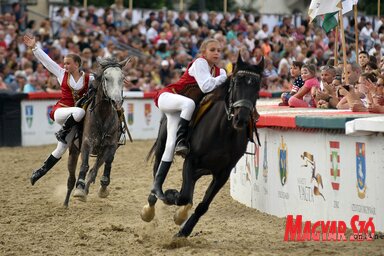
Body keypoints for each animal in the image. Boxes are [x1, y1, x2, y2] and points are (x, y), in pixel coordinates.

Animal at [62, 57, 130, 207]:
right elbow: (84, 165)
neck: (103, 115)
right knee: (71, 178)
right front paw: (79, 189)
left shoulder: (111, 145)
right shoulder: (87, 143)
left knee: (94, 170)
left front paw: (103, 187)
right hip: (73, 151)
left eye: (122, 78)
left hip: (101, 153)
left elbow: (107, 163)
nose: (117, 101)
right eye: (106, 78)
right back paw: (66, 202)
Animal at [141, 55, 264, 236]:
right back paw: (150, 205)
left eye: (257, 87)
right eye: (236, 82)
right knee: (158, 168)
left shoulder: (223, 173)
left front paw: (184, 230)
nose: (241, 119)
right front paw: (172, 198)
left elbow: (202, 205)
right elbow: (183, 196)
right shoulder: (191, 161)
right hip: (165, 135)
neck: (224, 132)